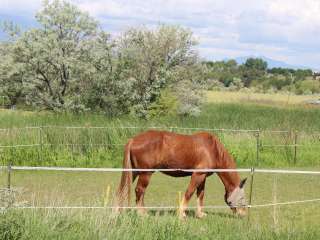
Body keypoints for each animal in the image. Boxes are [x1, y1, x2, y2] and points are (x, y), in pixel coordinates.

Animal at [115, 130, 248, 218]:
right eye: (242, 197)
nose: (243, 214)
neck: (212, 149)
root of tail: (133, 140)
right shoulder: (197, 175)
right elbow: (189, 192)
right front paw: (181, 213)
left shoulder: (203, 177)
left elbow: (200, 194)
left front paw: (200, 214)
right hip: (145, 174)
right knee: (139, 190)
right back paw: (142, 213)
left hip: (133, 172)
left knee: (123, 190)